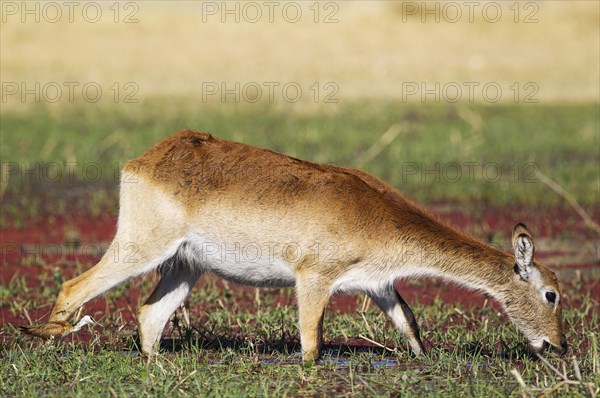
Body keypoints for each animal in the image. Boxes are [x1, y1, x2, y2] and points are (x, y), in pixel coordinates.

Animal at [47, 130, 568, 360]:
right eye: (551, 294)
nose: (559, 346)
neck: (377, 216)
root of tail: (147, 158)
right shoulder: (313, 277)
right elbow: (312, 345)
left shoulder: (378, 285)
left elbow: (411, 324)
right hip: (141, 247)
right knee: (73, 288)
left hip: (185, 266)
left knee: (149, 315)